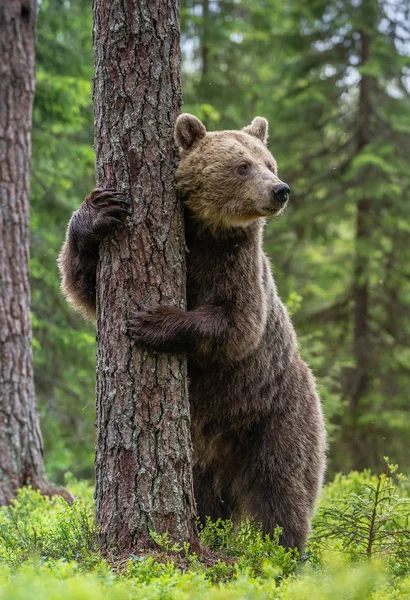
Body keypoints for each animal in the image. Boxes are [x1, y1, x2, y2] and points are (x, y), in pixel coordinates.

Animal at [58, 113, 326, 552]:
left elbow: (236, 323)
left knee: (282, 485)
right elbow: (84, 286)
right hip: (203, 456)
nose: (280, 190)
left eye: (269, 163)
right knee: (206, 499)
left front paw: (151, 321)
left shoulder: (235, 258)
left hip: (277, 412)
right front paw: (100, 210)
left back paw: (281, 549)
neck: (203, 229)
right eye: (243, 165)